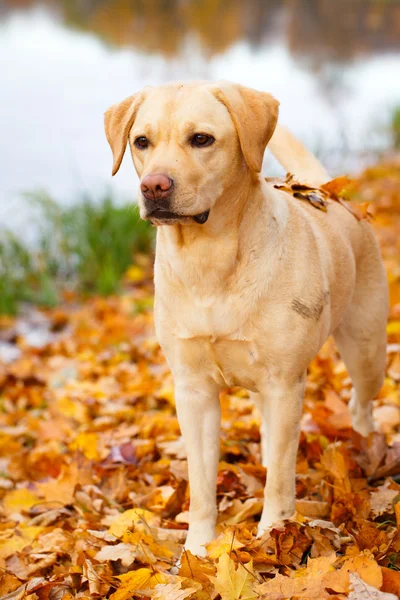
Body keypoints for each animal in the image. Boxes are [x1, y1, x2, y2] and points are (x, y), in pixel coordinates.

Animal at [104, 82, 390, 556]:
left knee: (359, 406)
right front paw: (198, 548)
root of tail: (327, 190)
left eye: (201, 139)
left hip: (367, 350)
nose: (154, 186)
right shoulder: (193, 391)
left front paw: (274, 532)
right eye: (141, 142)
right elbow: (202, 483)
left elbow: (279, 479)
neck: (208, 260)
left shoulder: (284, 383)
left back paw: (370, 452)